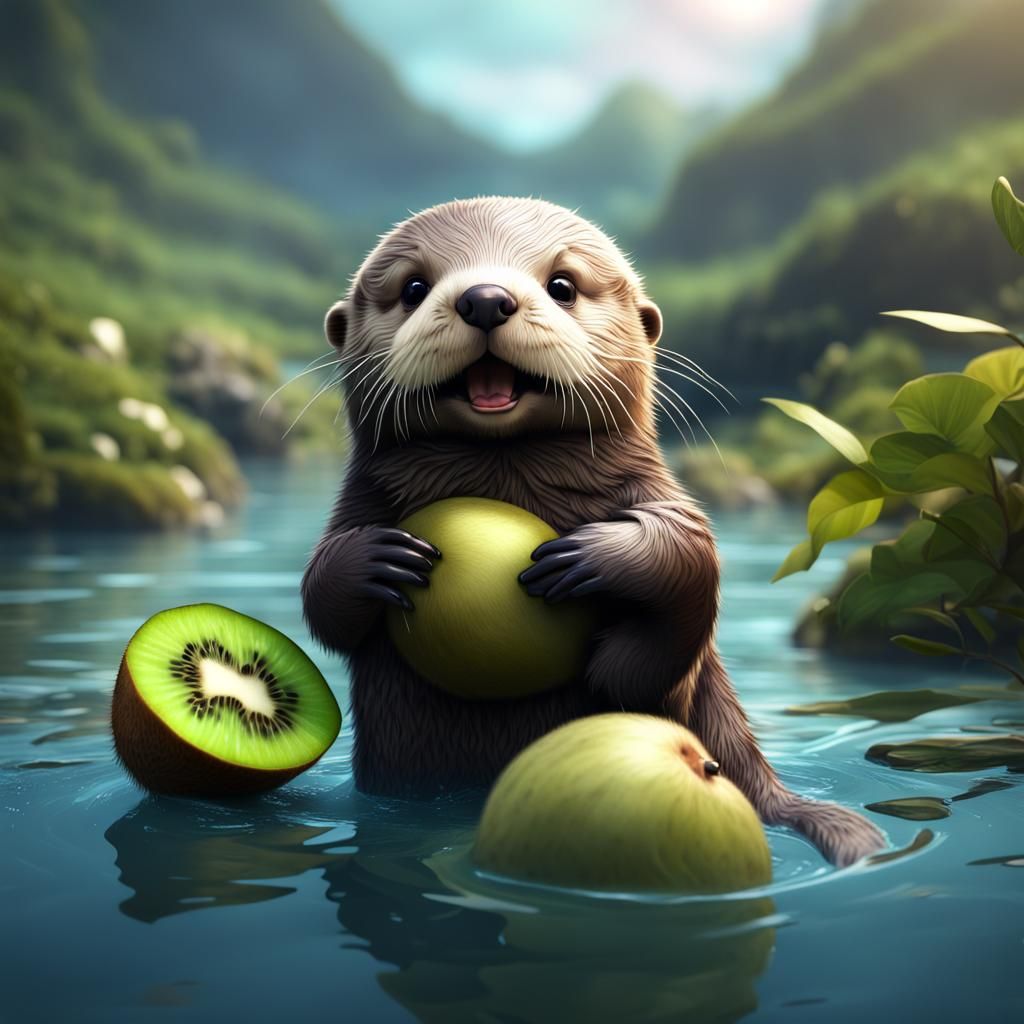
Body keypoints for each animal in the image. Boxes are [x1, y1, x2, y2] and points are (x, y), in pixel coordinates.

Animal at [301, 197, 884, 867]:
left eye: (562, 285)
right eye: (413, 288)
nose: (485, 298)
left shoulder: (664, 500)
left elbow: (688, 570)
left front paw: (593, 559)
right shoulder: (357, 503)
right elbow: (322, 592)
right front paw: (378, 558)